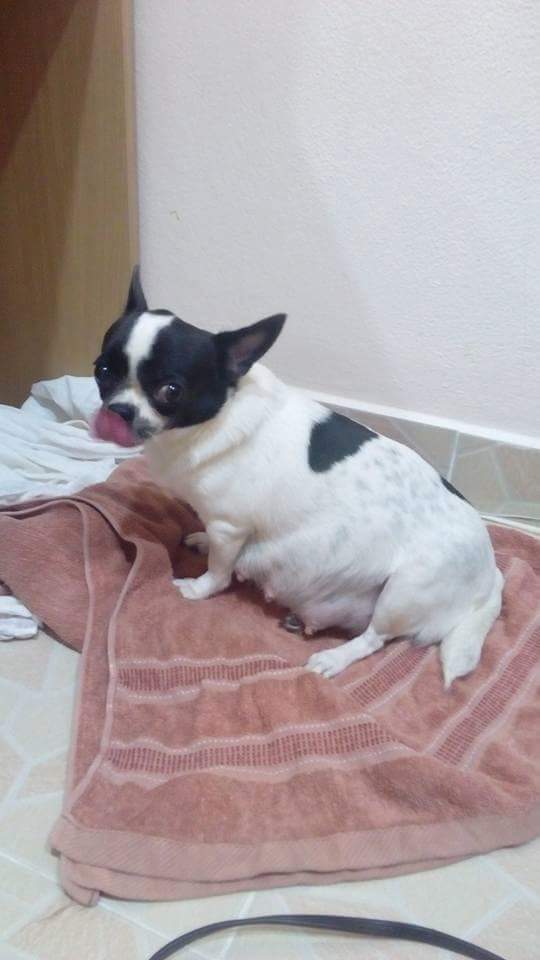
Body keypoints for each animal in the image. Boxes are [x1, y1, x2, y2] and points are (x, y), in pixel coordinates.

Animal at [93, 267, 503, 687]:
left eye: (170, 390)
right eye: (102, 371)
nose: (119, 410)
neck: (215, 418)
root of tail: (491, 577)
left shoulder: (229, 527)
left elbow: (219, 573)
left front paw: (197, 588)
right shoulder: (225, 529)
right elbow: (215, 547)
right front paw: (201, 541)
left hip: (404, 592)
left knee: (376, 638)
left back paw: (335, 658)